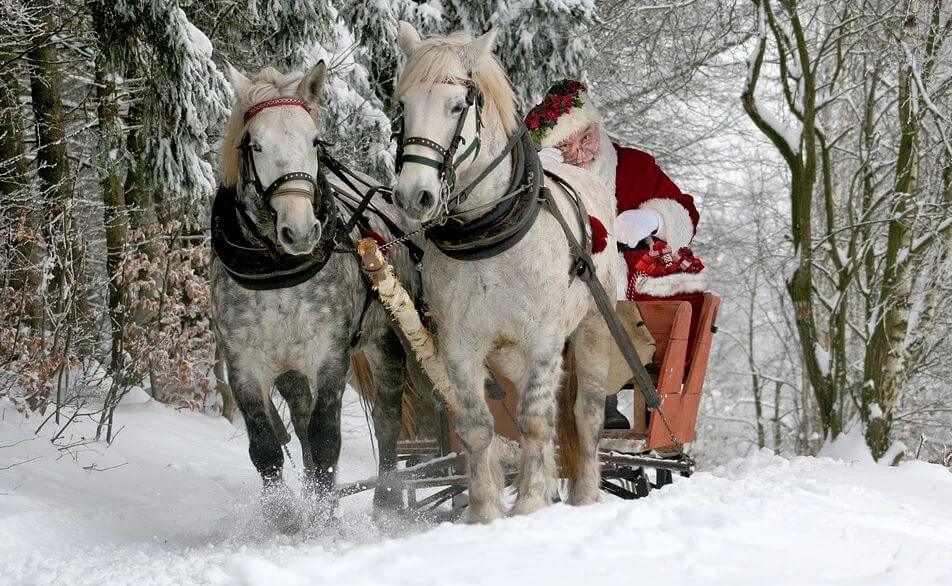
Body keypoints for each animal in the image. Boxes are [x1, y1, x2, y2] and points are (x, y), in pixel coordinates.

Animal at [392, 22, 616, 520]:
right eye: (403, 106)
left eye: (457, 106)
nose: (413, 196)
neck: (488, 235)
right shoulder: (459, 344)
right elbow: (478, 427)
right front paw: (485, 512)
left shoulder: (545, 336)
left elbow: (535, 419)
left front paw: (531, 502)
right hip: (510, 353)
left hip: (592, 331)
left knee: (584, 414)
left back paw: (585, 494)